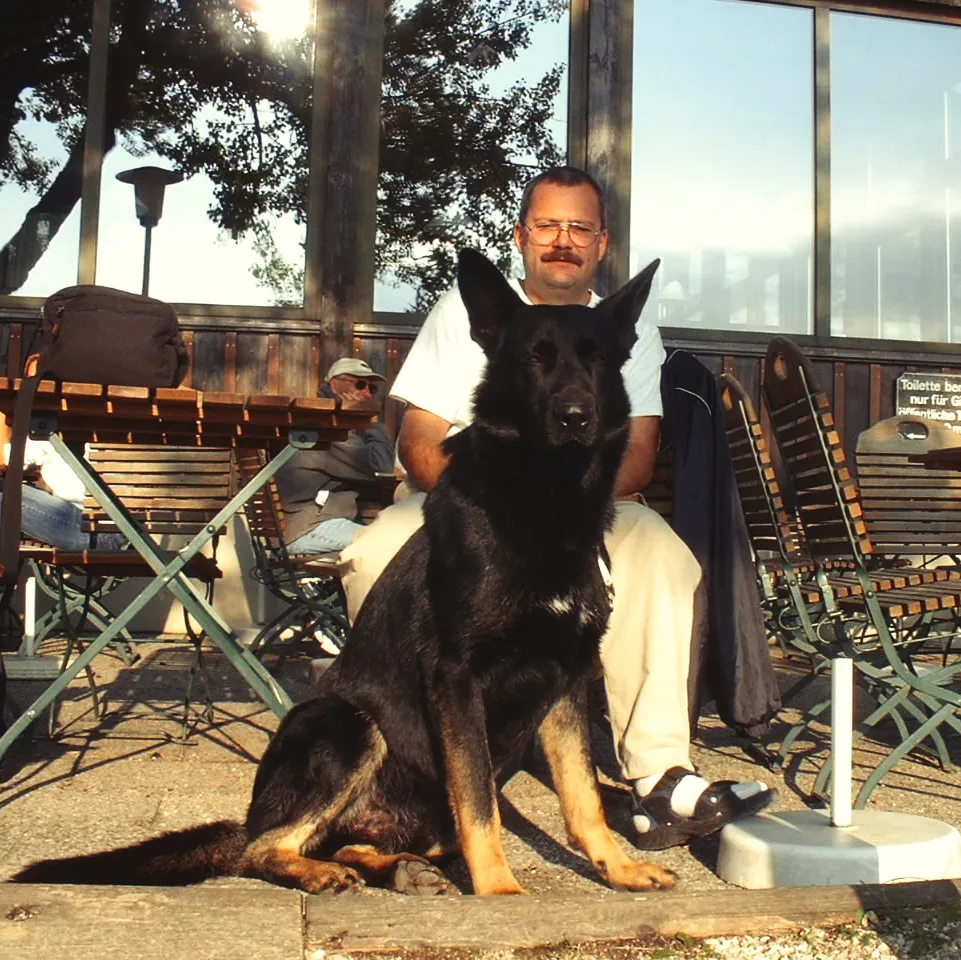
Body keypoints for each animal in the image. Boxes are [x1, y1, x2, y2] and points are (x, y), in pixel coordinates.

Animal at [12, 249, 674, 897]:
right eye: (533, 358)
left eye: (598, 361)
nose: (575, 416)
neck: (543, 503)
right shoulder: (458, 678)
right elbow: (479, 801)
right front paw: (501, 894)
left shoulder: (567, 678)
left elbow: (582, 796)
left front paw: (617, 868)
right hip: (345, 725)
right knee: (260, 849)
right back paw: (321, 871)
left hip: (411, 810)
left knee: (351, 842)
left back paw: (396, 869)